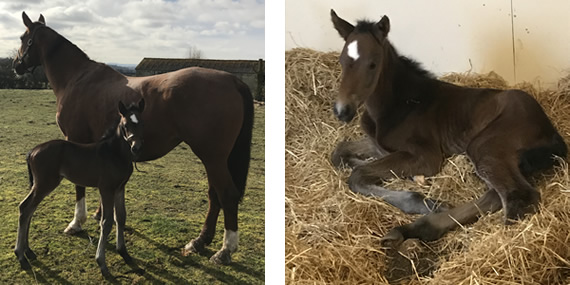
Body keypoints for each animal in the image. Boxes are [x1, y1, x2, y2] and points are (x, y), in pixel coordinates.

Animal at [15, 99, 145, 276]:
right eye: (125, 125)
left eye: (142, 122)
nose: (136, 147)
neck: (115, 153)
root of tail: (32, 151)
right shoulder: (106, 189)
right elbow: (107, 221)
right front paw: (102, 263)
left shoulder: (120, 188)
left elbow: (121, 217)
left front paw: (124, 253)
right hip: (45, 184)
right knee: (25, 208)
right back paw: (21, 256)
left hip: (40, 184)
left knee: (29, 209)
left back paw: (28, 251)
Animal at [328, 10, 564, 247]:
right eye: (341, 61)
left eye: (372, 64)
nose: (342, 111)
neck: (399, 104)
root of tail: (550, 130)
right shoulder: (376, 144)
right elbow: (339, 153)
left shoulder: (426, 156)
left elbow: (358, 175)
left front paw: (420, 199)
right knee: (495, 195)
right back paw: (413, 229)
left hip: (483, 146)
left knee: (518, 198)